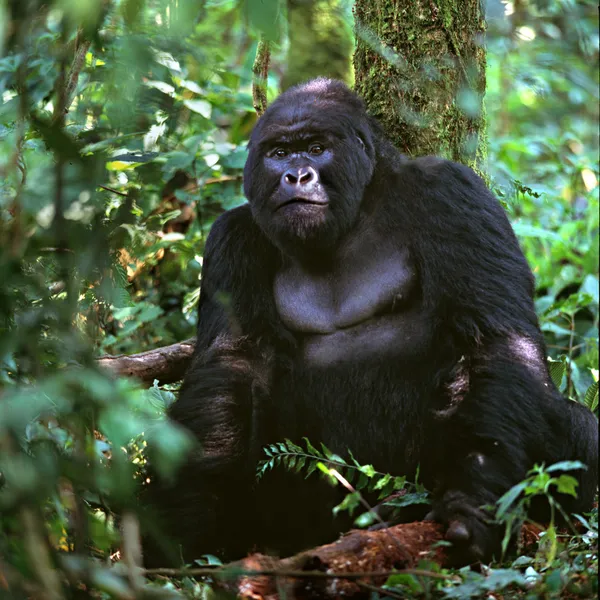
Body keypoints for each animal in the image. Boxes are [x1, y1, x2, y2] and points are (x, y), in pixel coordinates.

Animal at [146, 78, 600, 568]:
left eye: (317, 148)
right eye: (280, 153)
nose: (297, 176)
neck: (360, 205)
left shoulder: (451, 190)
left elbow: (494, 339)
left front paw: (473, 496)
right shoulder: (231, 238)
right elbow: (231, 365)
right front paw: (186, 517)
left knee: (578, 424)